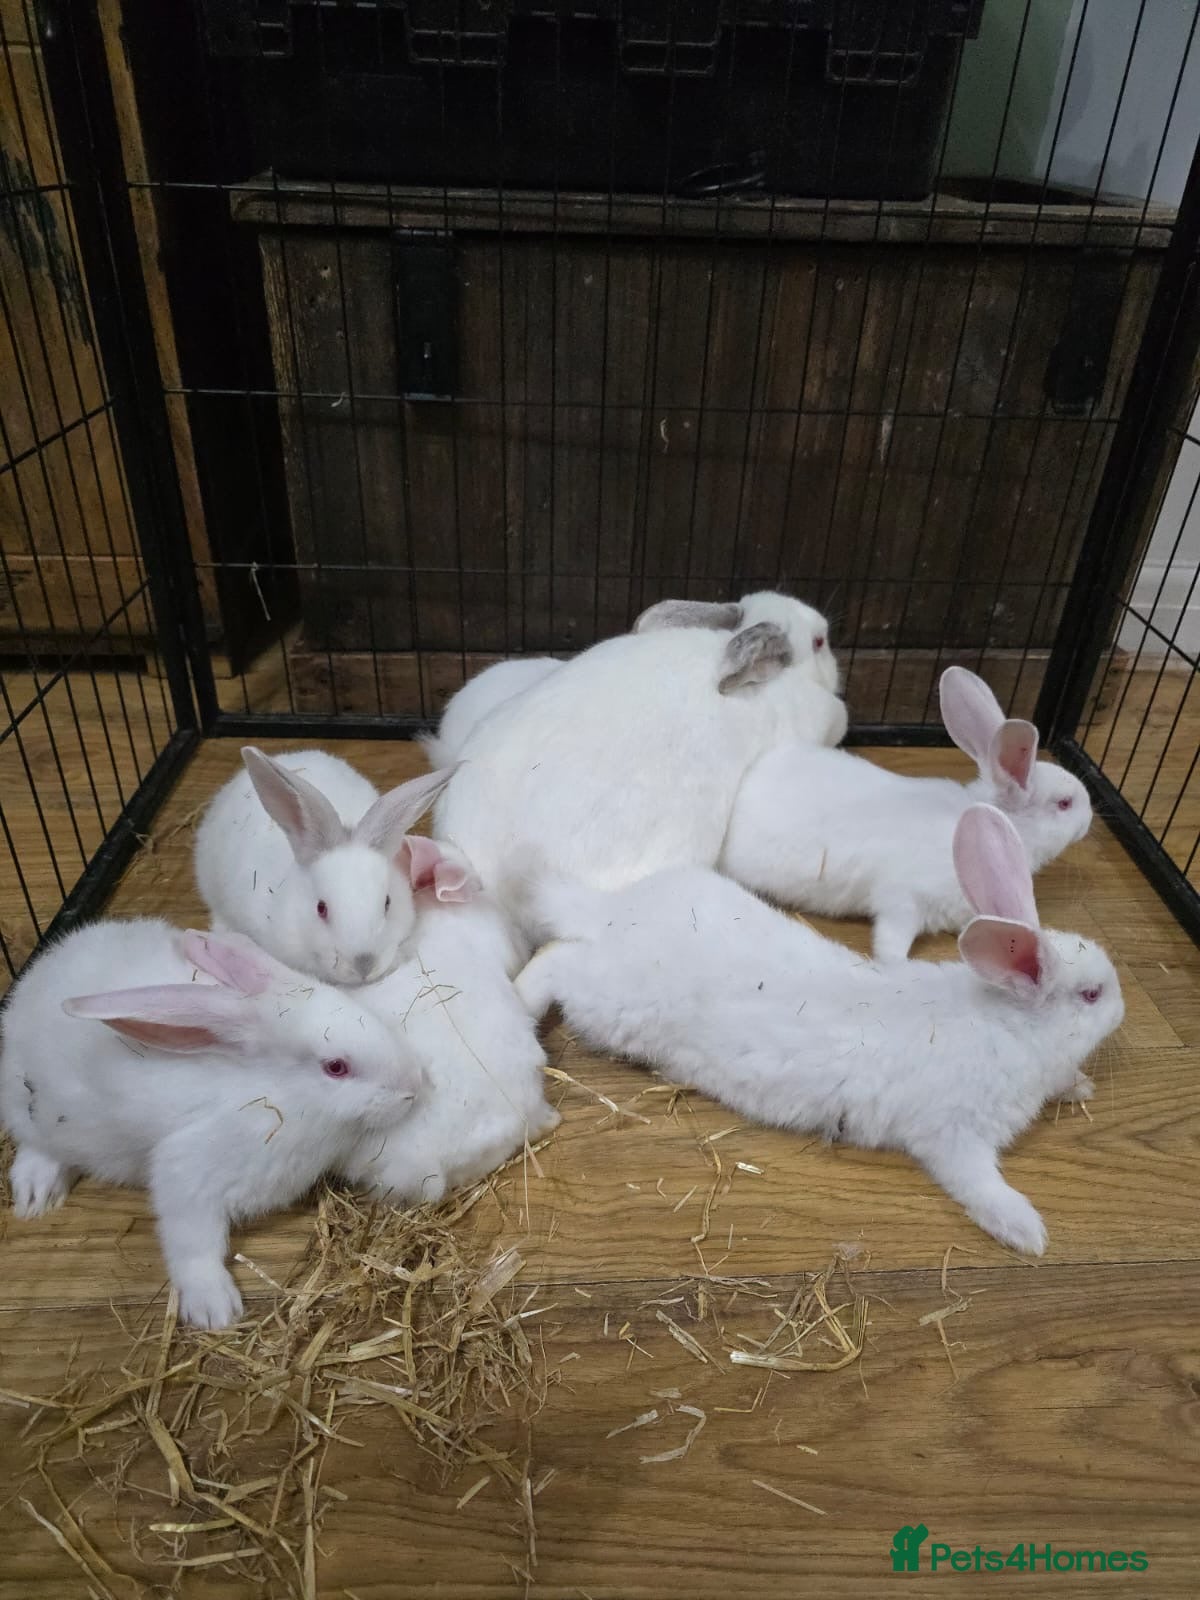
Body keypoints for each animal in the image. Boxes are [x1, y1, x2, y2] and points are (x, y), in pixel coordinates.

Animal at [0, 919, 427, 1327]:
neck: (275, 1093)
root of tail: (30, 985)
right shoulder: (188, 1177)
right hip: (37, 1110)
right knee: (35, 1144)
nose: (413, 1085)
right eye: (336, 1067)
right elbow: (192, 1242)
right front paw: (215, 1310)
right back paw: (36, 1194)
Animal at [515, 804, 1123, 1255]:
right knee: (557, 960)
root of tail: (609, 913)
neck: (1009, 1026)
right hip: (609, 1004)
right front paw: (1027, 1231)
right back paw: (519, 1005)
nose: (1122, 1012)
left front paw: (1080, 1087)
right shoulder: (952, 1138)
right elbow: (980, 1185)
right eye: (1091, 995)